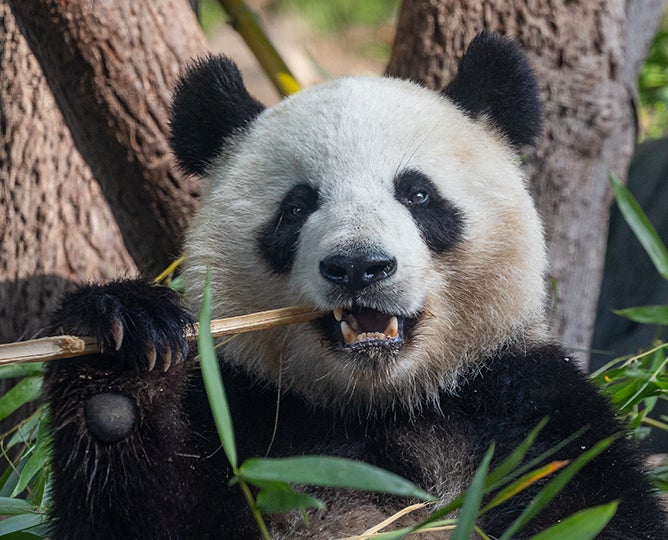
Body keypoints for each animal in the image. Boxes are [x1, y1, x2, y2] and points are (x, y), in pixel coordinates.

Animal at [45, 32, 667, 539]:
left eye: (417, 193)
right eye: (297, 207)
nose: (359, 267)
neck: (380, 405)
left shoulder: (530, 416)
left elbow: (597, 512)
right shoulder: (244, 419)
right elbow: (138, 518)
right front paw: (120, 358)